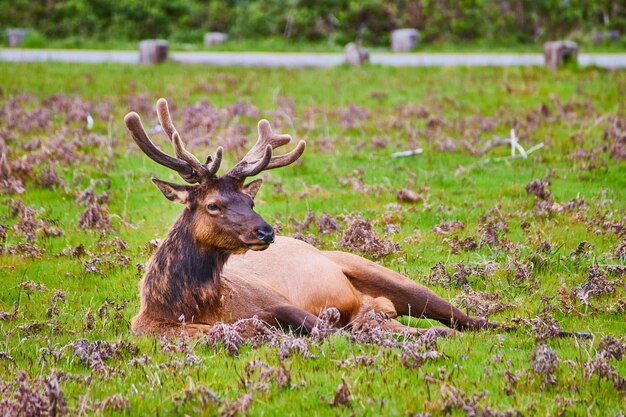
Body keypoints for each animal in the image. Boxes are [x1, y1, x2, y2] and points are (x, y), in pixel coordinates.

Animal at [124, 98, 492, 338]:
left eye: (250, 199)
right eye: (213, 205)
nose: (266, 232)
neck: (188, 307)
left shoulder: (275, 302)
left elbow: (330, 332)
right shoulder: (149, 329)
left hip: (378, 271)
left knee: (462, 318)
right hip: (375, 306)